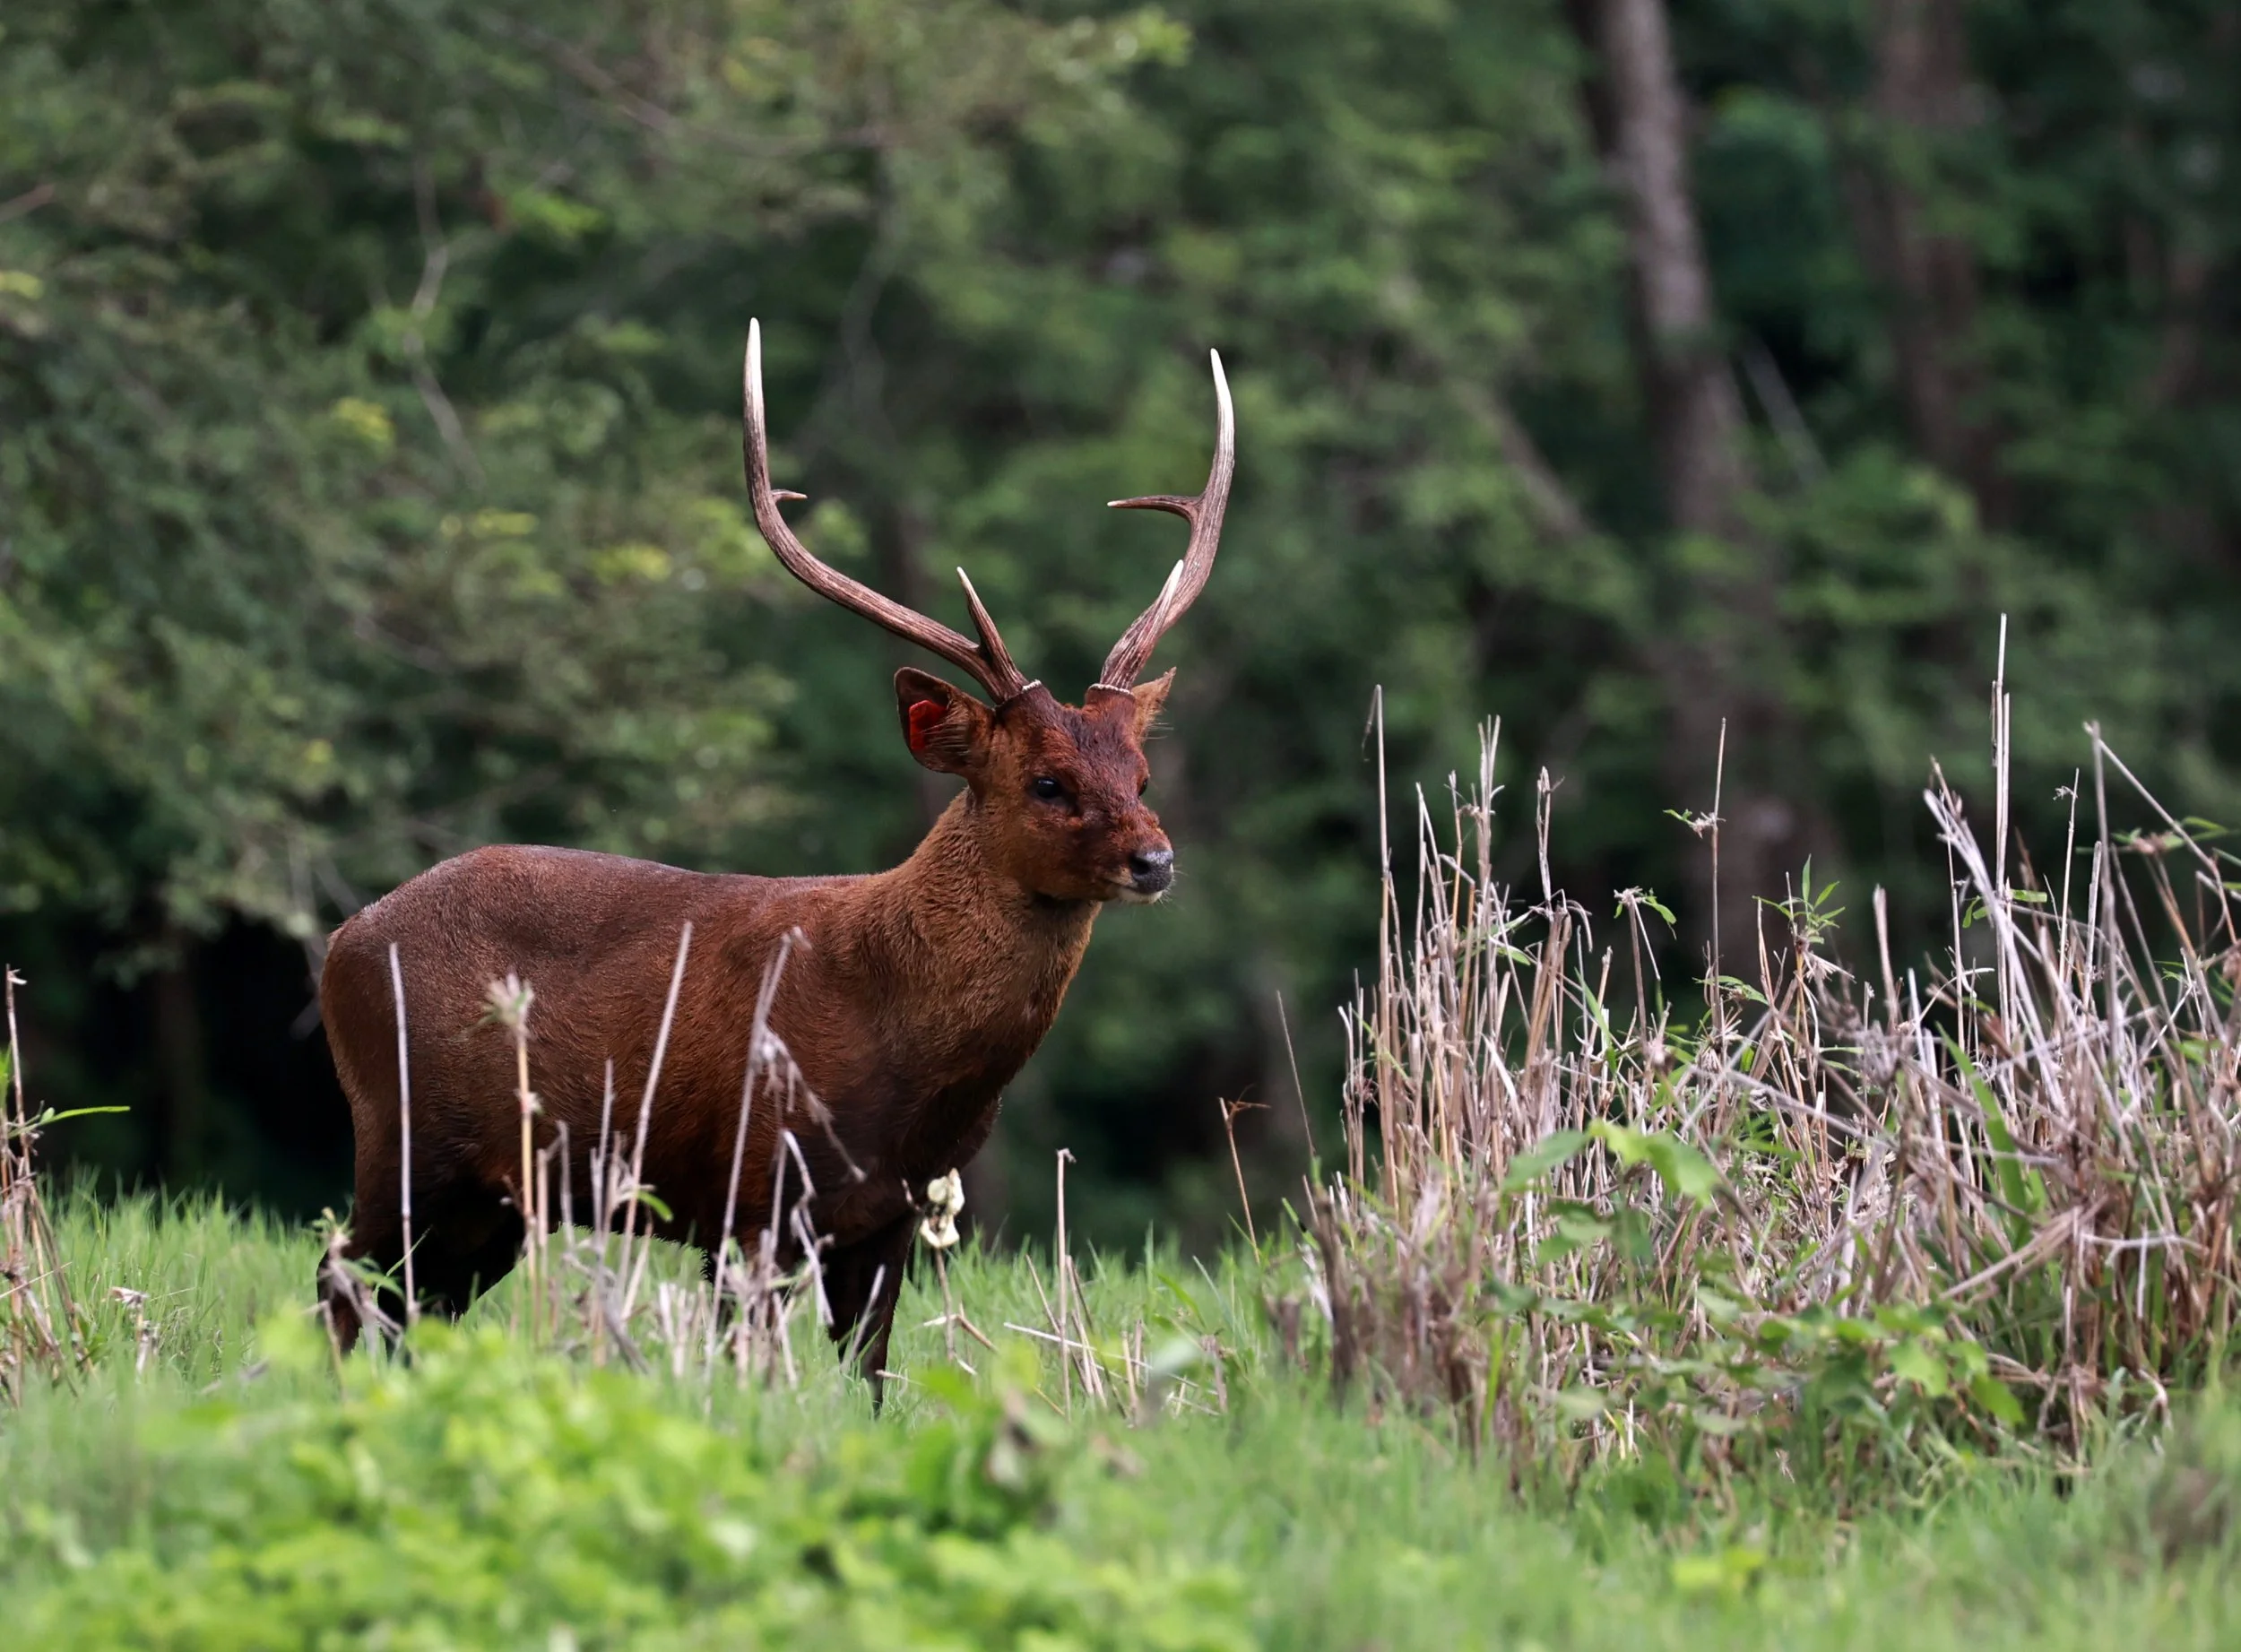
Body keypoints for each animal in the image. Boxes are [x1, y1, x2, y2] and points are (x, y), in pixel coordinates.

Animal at [316, 320, 1233, 1397]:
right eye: (1048, 781)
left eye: (1139, 768)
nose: (1154, 859)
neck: (899, 1053)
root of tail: (340, 940)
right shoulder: (748, 1188)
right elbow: (742, 1367)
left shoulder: (893, 1215)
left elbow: (870, 1378)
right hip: (405, 1136)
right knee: (340, 1274)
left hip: (492, 1199)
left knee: (409, 1307)